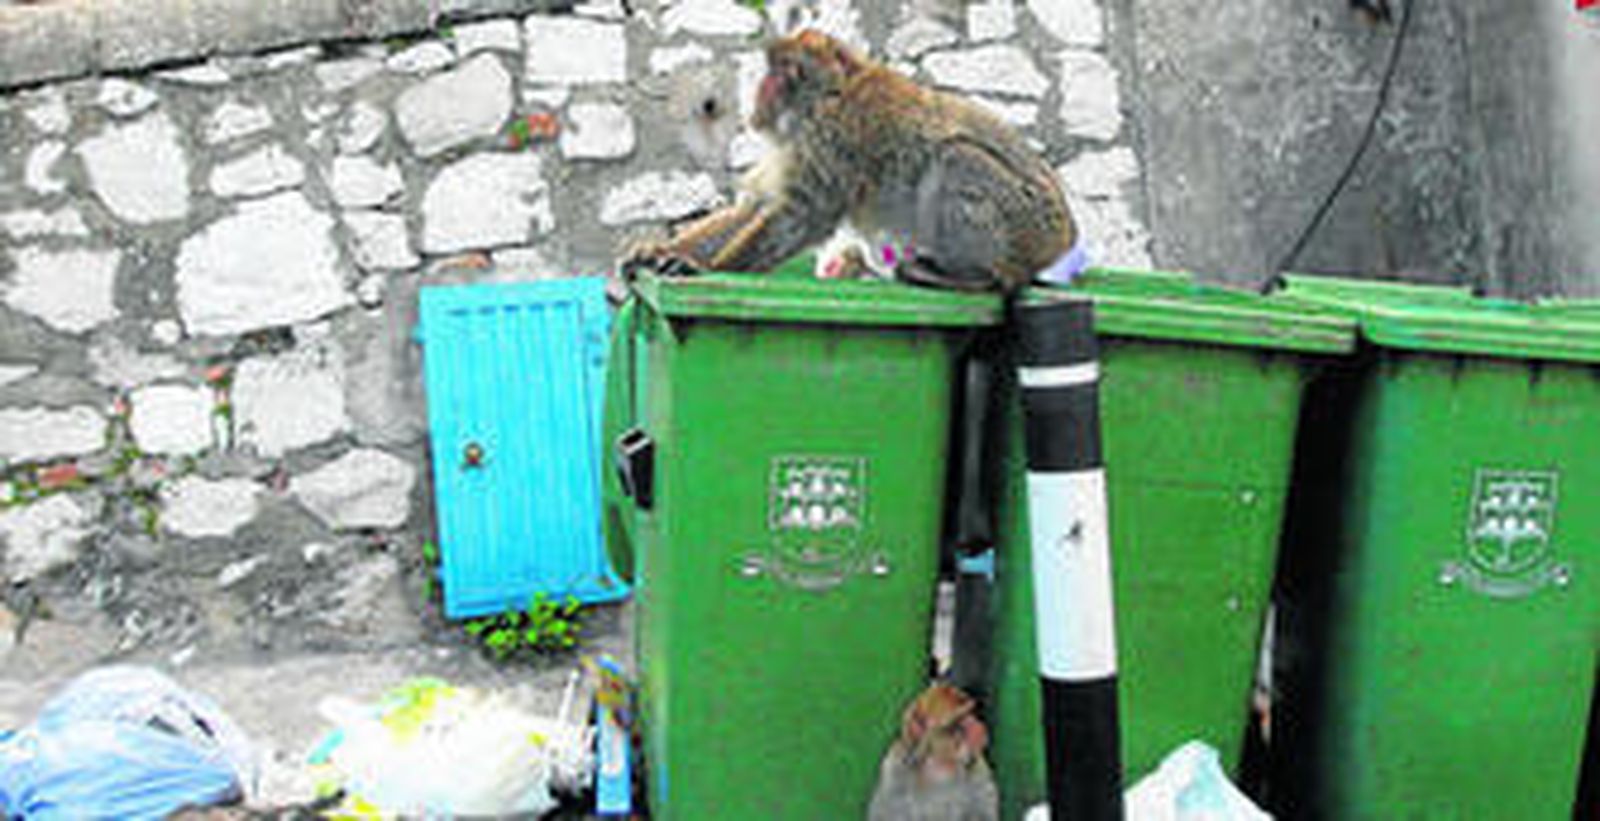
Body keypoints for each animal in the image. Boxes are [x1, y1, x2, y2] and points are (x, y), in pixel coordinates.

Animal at [627, 29, 1077, 293]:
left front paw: (700, 269)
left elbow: (801, 217)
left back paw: (979, 276)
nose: (755, 98)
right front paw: (659, 251)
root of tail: (1062, 241)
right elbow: (758, 207)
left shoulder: (829, 138)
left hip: (1023, 227)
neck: (826, 94)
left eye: (774, 75)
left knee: (956, 156)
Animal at [868, 683, 999, 821]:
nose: (978, 726)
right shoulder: (895, 777)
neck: (939, 764)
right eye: (962, 718)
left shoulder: (979, 774)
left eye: (970, 713)